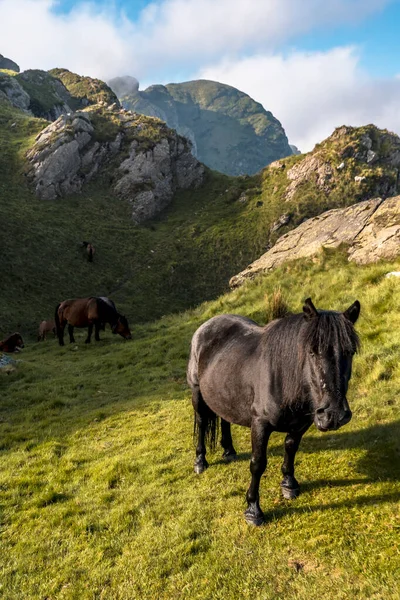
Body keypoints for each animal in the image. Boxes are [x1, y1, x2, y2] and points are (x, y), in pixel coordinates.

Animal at [186, 298, 360, 524]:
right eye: (312, 351)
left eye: (350, 352)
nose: (334, 415)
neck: (284, 377)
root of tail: (206, 325)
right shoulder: (260, 424)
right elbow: (258, 464)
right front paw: (253, 510)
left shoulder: (301, 424)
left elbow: (291, 448)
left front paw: (289, 484)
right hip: (197, 392)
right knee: (201, 422)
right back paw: (200, 461)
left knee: (225, 418)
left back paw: (229, 451)